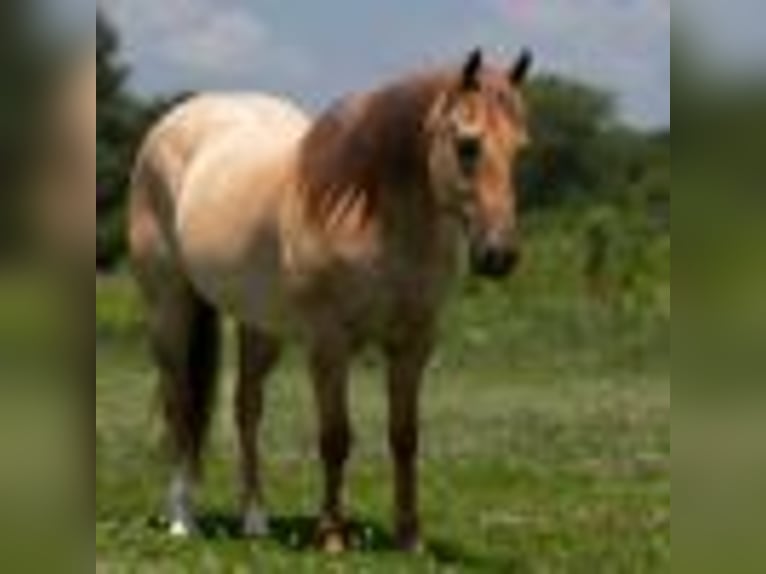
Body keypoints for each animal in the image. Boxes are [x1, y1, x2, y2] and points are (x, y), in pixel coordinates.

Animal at [128, 47, 533, 552]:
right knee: (180, 403)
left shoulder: (413, 344)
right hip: (169, 308)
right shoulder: (329, 344)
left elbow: (405, 436)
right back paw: (183, 518)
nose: (500, 255)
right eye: (467, 145)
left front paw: (410, 537)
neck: (371, 215)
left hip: (260, 325)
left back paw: (255, 520)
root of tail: (172, 122)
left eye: (520, 149)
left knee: (247, 408)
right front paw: (332, 536)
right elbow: (335, 437)